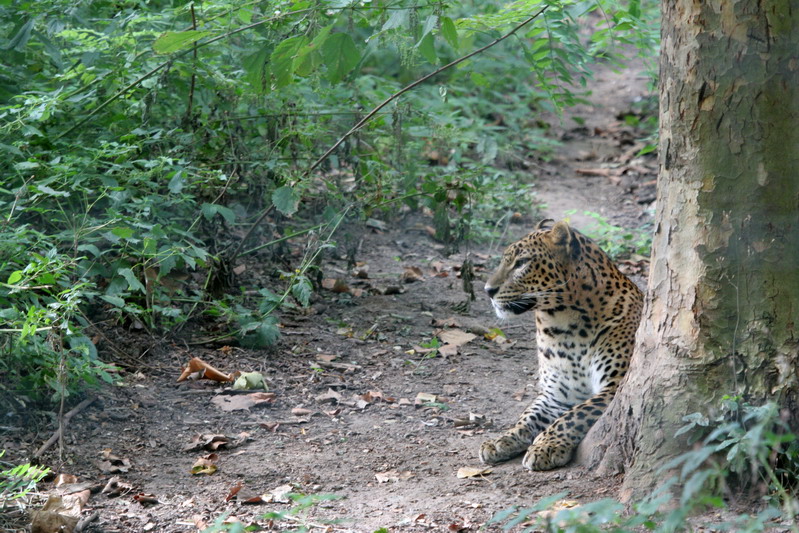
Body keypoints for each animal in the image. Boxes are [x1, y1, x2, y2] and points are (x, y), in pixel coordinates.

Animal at [482, 218, 644, 468]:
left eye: (522, 263)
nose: (488, 290)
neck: (564, 328)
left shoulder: (614, 387)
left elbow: (575, 414)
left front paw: (546, 445)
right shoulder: (555, 395)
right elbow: (528, 415)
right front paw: (502, 439)